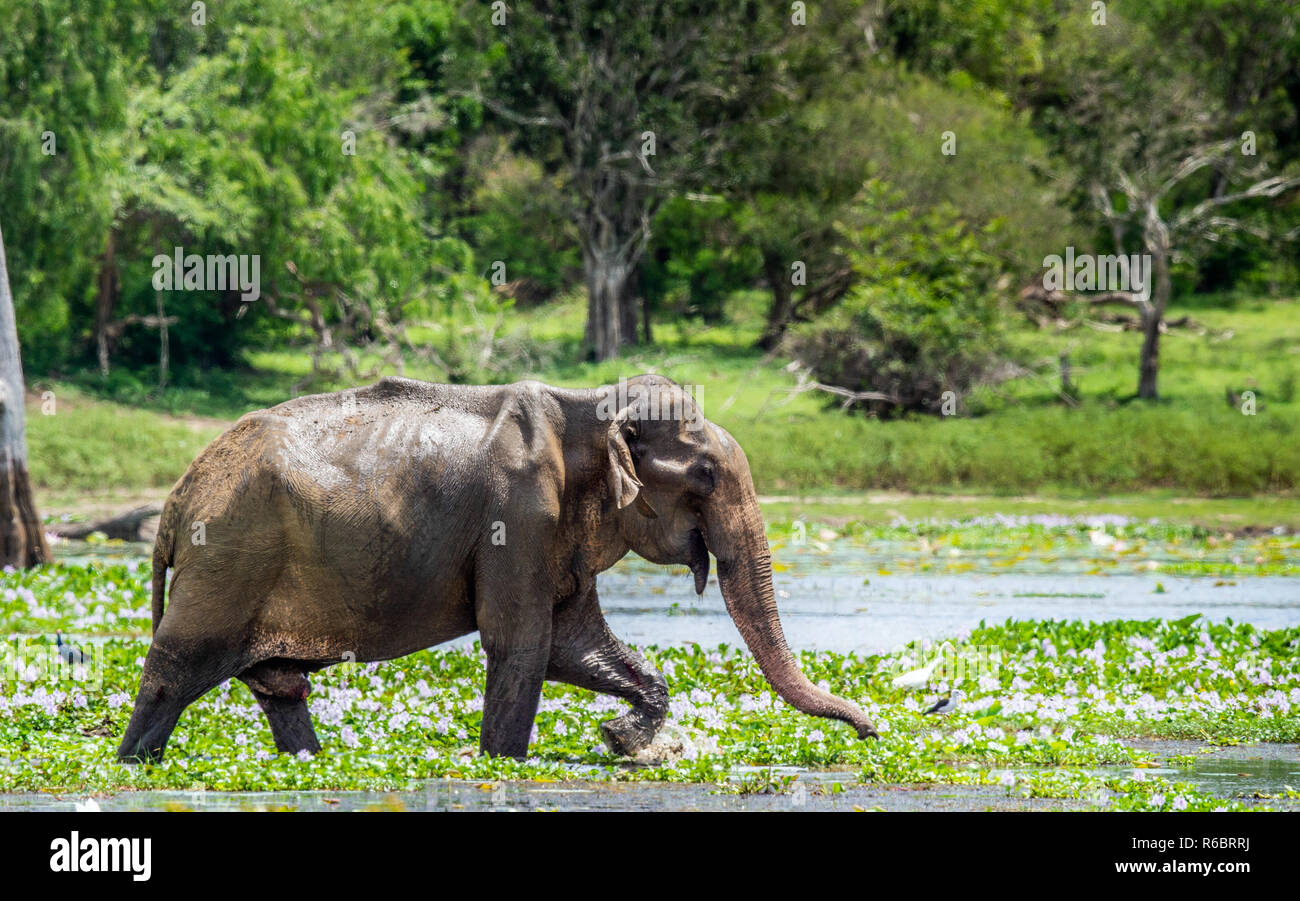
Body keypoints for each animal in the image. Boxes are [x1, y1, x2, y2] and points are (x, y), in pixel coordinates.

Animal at [116, 371, 878, 759]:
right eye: (706, 475)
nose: (872, 729)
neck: (588, 406)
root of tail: (181, 494)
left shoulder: (556, 533)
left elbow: (575, 645)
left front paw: (623, 738)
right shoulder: (519, 515)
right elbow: (524, 644)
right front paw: (510, 760)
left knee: (280, 689)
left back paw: (308, 759)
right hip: (230, 558)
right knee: (174, 671)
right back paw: (135, 759)